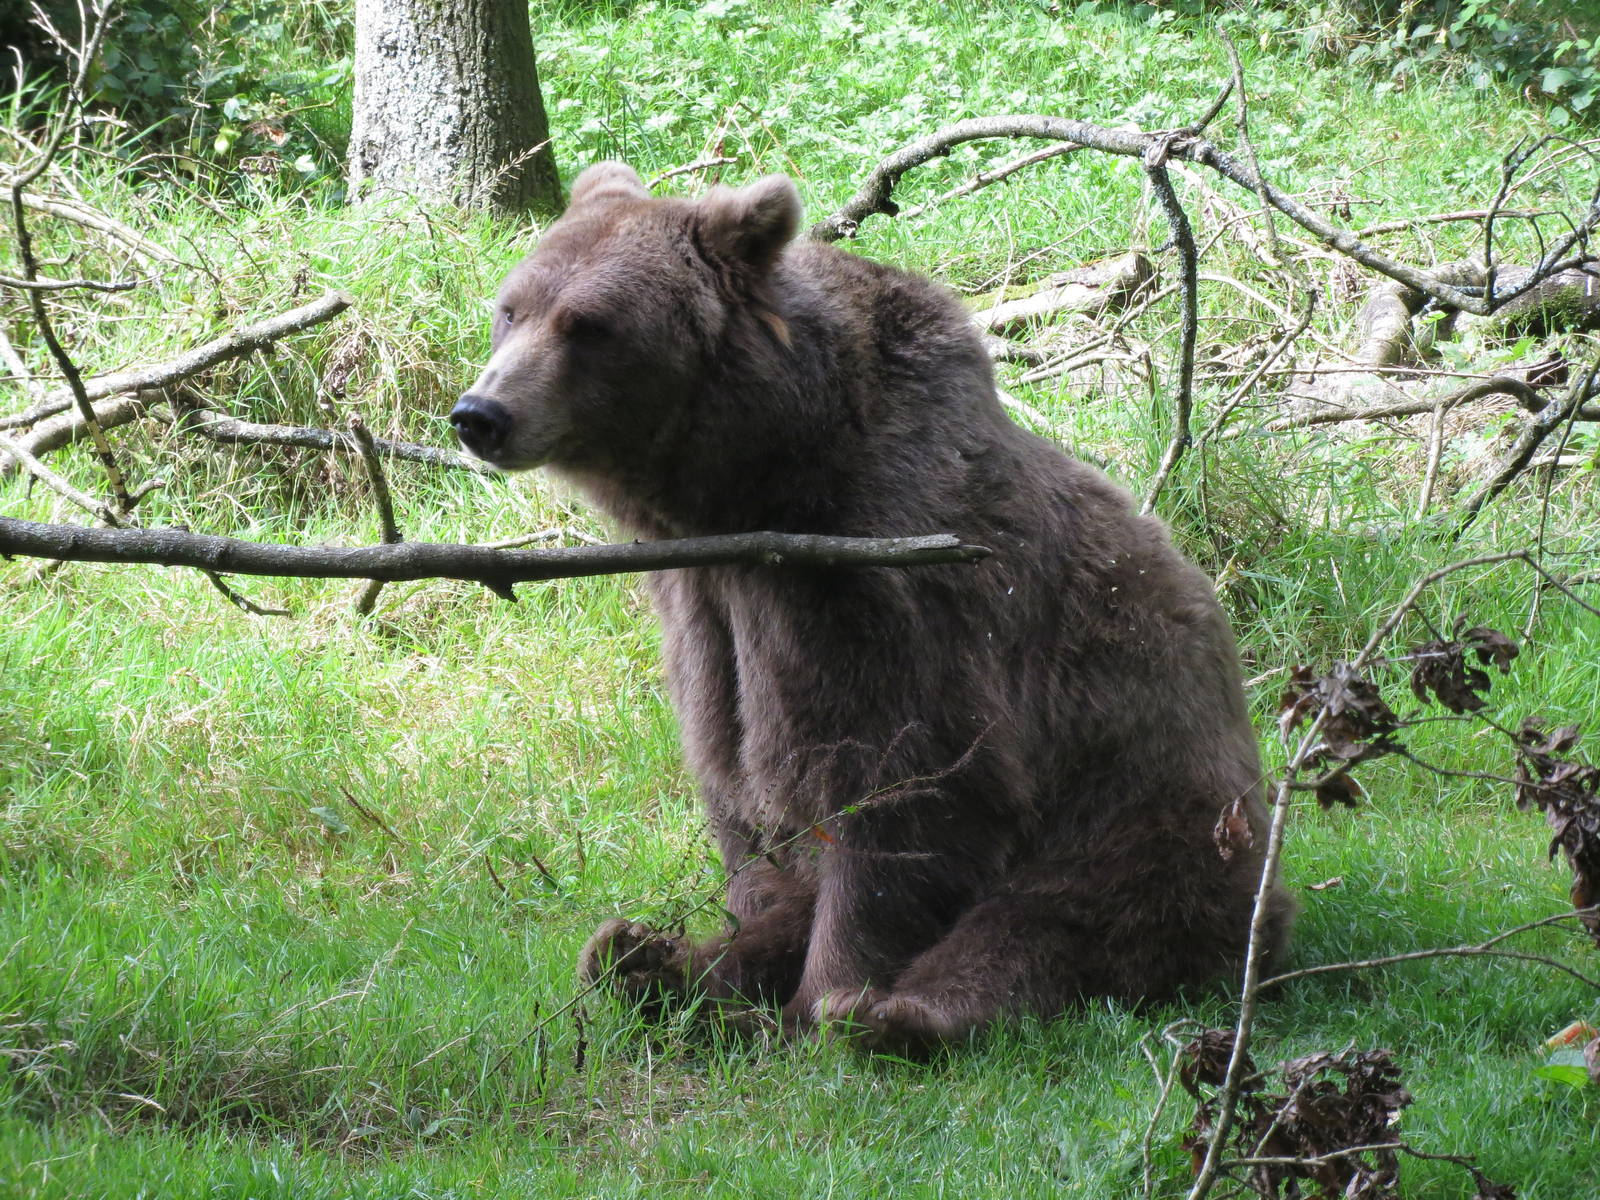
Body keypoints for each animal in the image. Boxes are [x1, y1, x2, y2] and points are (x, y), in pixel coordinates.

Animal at [450, 161, 1293, 1048]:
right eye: (512, 308)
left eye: (587, 324)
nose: (481, 414)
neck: (752, 485)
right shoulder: (706, 604)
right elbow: (739, 789)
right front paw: (725, 956)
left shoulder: (883, 580)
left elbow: (907, 786)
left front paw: (828, 998)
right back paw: (643, 960)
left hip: (1151, 810)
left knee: (1054, 920)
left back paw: (894, 1015)